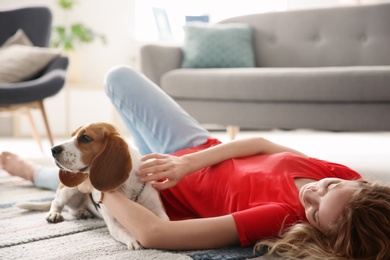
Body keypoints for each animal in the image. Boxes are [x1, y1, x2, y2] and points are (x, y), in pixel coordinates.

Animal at [17, 122, 168, 250]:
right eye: (72, 136)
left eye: (85, 138)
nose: (53, 149)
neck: (127, 187)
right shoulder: (113, 223)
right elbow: (125, 232)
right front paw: (134, 240)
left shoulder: (158, 212)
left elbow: (164, 222)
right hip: (69, 190)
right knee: (57, 203)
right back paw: (54, 214)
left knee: (72, 209)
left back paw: (82, 212)